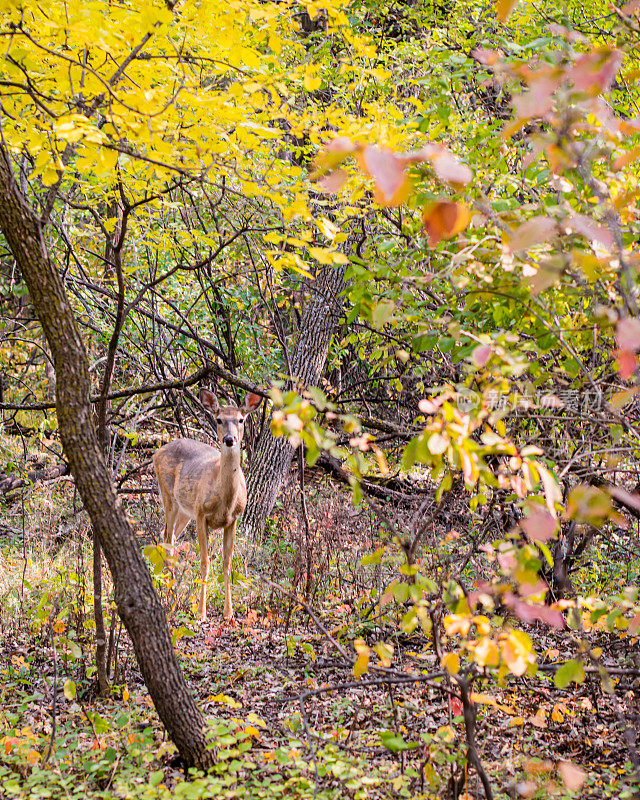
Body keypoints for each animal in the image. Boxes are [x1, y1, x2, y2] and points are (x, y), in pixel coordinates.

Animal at [154, 390, 264, 620]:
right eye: (219, 419)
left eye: (241, 419)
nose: (229, 439)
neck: (225, 501)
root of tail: (157, 451)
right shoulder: (201, 514)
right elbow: (205, 562)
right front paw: (201, 612)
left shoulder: (233, 520)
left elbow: (227, 563)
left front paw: (228, 612)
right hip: (169, 496)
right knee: (167, 537)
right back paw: (169, 590)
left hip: (186, 510)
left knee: (170, 536)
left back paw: (171, 587)